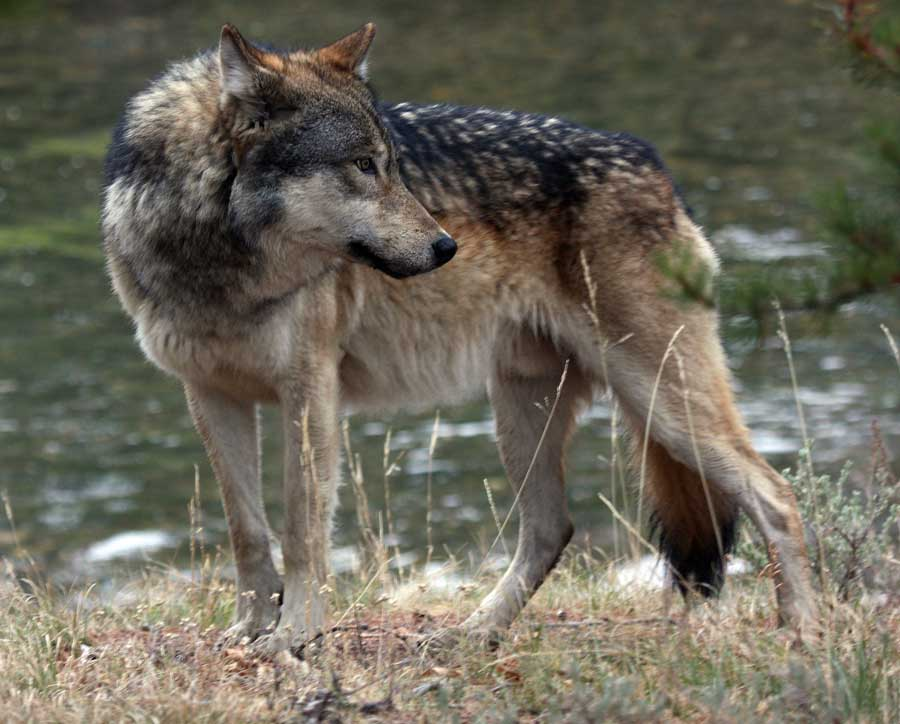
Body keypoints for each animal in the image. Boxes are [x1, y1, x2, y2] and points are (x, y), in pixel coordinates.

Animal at [102, 25, 820, 652]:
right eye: (363, 166)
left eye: (391, 165)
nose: (447, 247)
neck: (217, 261)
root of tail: (658, 169)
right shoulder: (210, 394)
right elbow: (246, 530)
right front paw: (249, 631)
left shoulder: (310, 392)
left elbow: (303, 528)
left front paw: (295, 636)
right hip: (528, 411)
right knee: (551, 529)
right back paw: (475, 632)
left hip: (660, 401)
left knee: (777, 496)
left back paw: (805, 630)